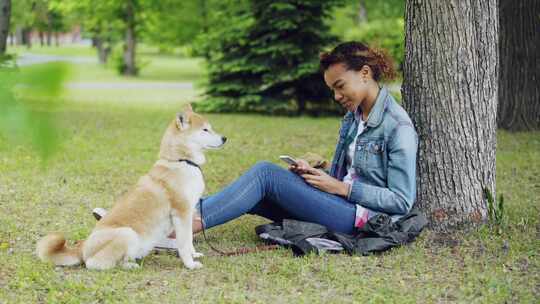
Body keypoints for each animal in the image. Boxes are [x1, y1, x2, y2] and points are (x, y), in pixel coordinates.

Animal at [36, 104, 226, 268]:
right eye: (205, 130)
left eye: (210, 128)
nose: (225, 138)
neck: (182, 161)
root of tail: (82, 247)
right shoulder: (182, 213)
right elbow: (185, 244)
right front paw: (190, 264)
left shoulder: (189, 212)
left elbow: (190, 241)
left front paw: (194, 255)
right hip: (127, 233)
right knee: (93, 264)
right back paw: (128, 266)